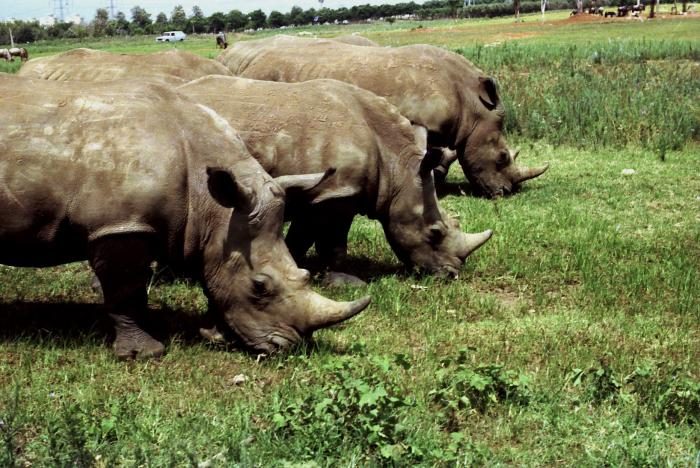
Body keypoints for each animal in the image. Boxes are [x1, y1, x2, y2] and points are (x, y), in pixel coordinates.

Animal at [0, 74, 369, 359]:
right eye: (259, 287)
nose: (289, 348)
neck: (209, 205)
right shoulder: (121, 225)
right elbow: (125, 290)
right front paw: (145, 354)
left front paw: (214, 335)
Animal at [178, 76, 492, 282]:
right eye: (435, 233)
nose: (450, 274)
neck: (397, 167)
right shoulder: (333, 193)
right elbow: (331, 243)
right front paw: (344, 281)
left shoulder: (324, 195)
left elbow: (303, 238)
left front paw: (299, 266)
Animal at [217, 35, 548, 198]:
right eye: (502, 157)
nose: (506, 192)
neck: (472, 108)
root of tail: (249, 62)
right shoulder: (423, 123)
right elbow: (429, 155)